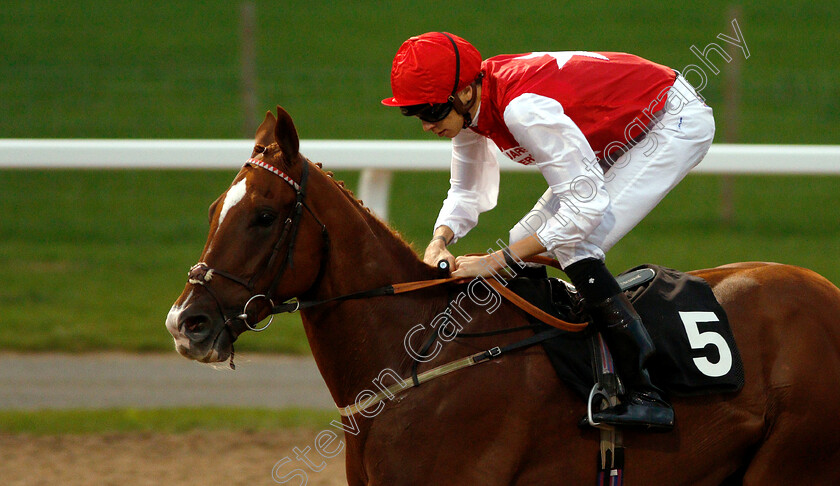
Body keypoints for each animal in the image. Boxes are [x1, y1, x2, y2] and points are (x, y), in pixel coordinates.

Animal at [167, 107, 840, 486]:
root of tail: (826, 292)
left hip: (792, 464)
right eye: (213, 209)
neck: (420, 358)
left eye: (262, 216)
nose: (186, 322)